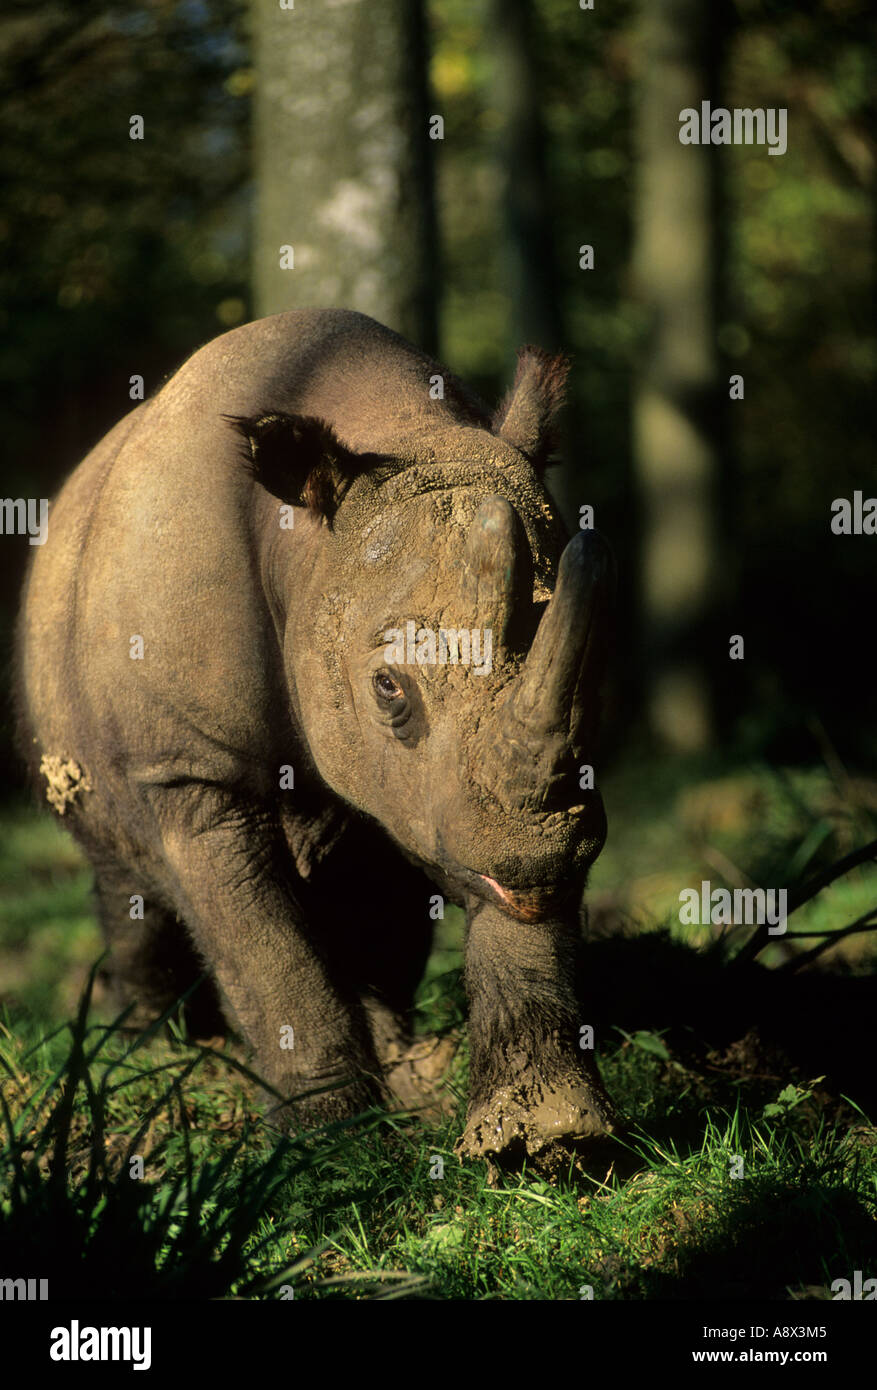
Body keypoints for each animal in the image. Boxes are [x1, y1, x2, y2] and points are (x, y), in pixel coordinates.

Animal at [15, 309, 617, 1167]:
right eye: (389, 689)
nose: (541, 856)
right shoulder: (189, 767)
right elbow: (267, 952)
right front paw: (326, 1142)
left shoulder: (461, 796)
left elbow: (485, 889)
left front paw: (545, 1140)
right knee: (121, 875)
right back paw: (157, 1056)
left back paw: (400, 1062)